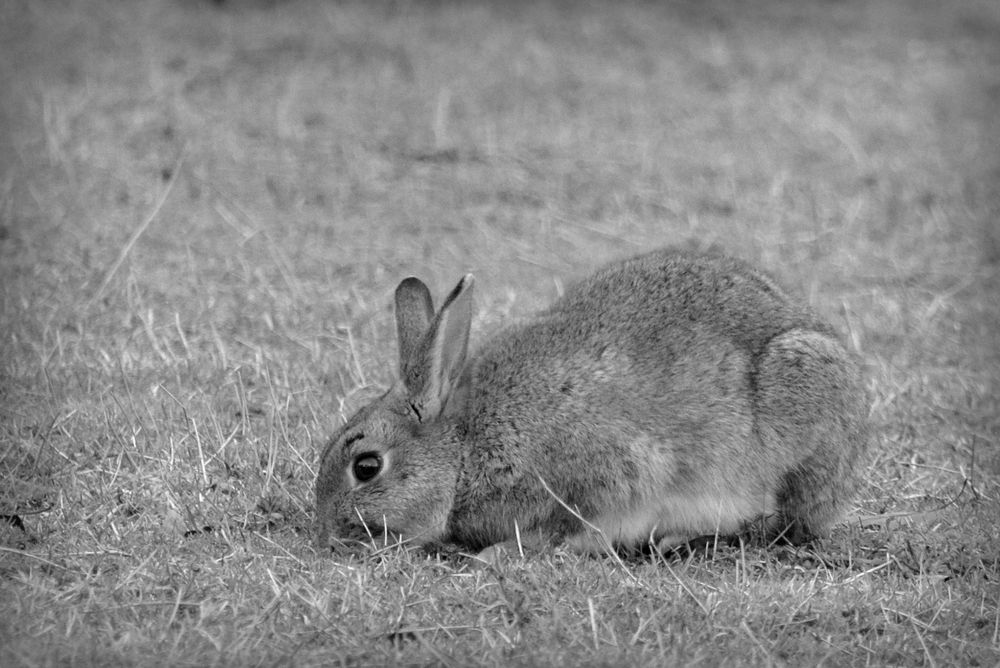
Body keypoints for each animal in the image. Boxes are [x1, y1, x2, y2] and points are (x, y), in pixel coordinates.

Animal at [316, 248, 872, 556]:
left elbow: (574, 527)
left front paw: (497, 555)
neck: (465, 447)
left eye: (366, 466)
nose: (326, 532)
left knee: (779, 523)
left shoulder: (608, 473)